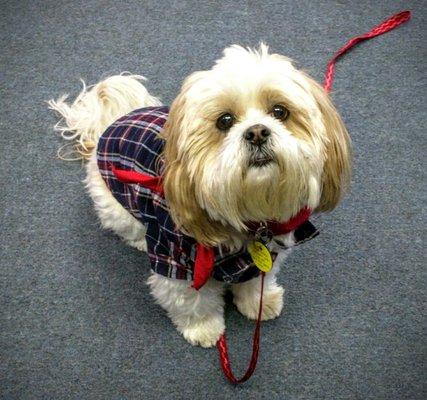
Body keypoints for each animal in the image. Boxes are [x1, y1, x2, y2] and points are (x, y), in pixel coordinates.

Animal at [49, 44, 352, 346]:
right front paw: (204, 328)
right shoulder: (176, 262)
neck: (246, 216)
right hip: (116, 205)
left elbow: (256, 282)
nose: (257, 132)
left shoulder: (270, 249)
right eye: (224, 120)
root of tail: (108, 124)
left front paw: (259, 303)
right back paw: (139, 239)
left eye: (280, 111)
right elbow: (192, 301)